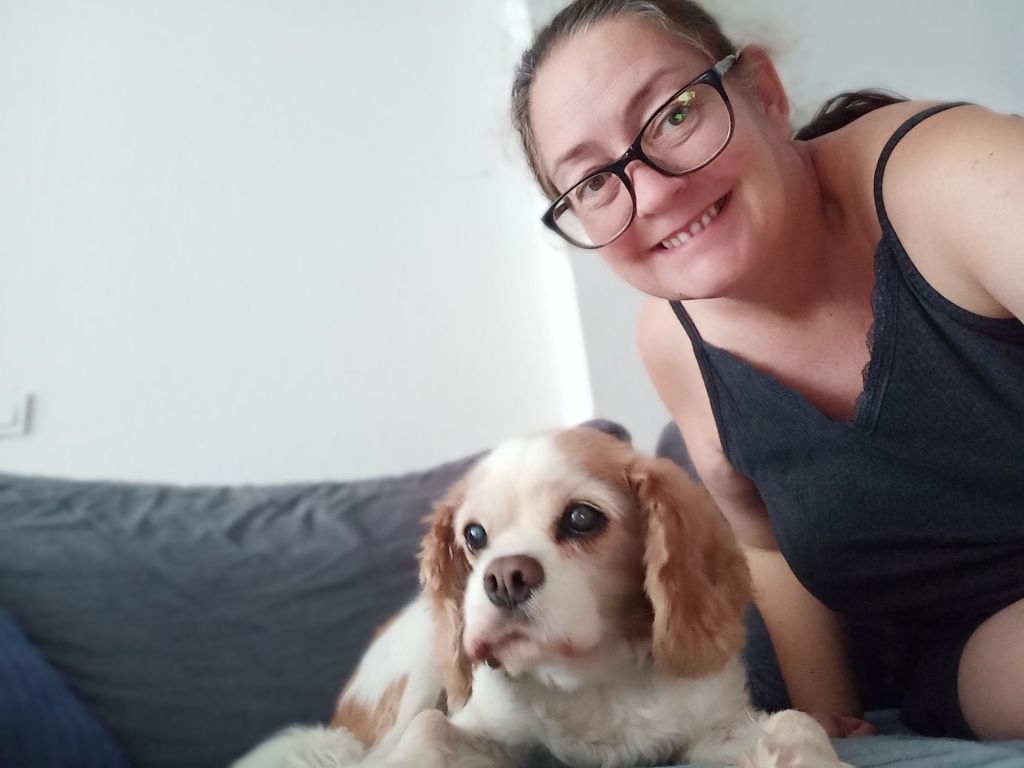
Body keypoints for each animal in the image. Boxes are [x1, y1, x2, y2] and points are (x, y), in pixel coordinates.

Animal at [234, 426, 851, 768]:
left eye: (581, 518)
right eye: (474, 535)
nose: (503, 578)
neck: (593, 679)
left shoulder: (711, 731)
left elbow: (798, 722)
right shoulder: (492, 733)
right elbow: (431, 728)